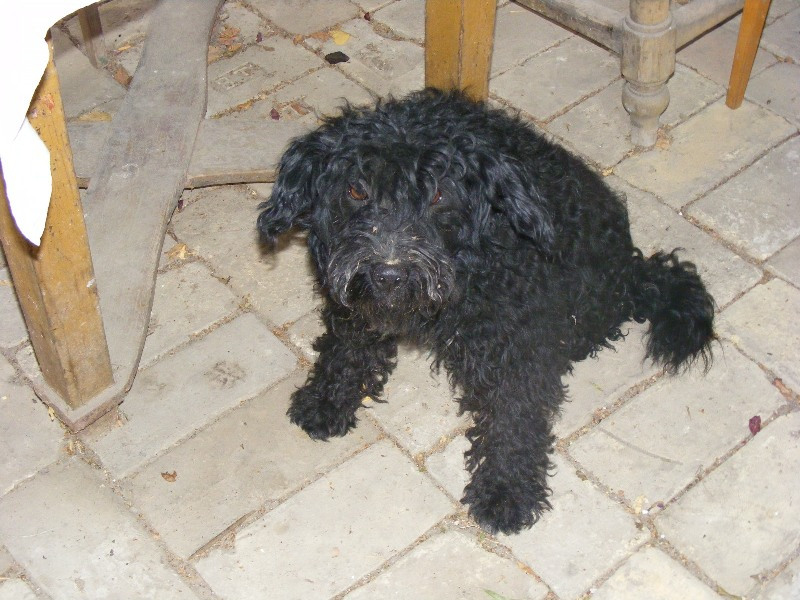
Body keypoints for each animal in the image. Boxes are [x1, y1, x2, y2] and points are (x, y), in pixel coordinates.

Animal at [257, 89, 715, 535]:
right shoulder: (354, 306)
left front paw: (506, 491)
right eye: (356, 190)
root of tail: (633, 270)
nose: (389, 274)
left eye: (438, 193)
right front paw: (327, 398)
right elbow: (346, 348)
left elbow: (514, 418)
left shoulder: (516, 346)